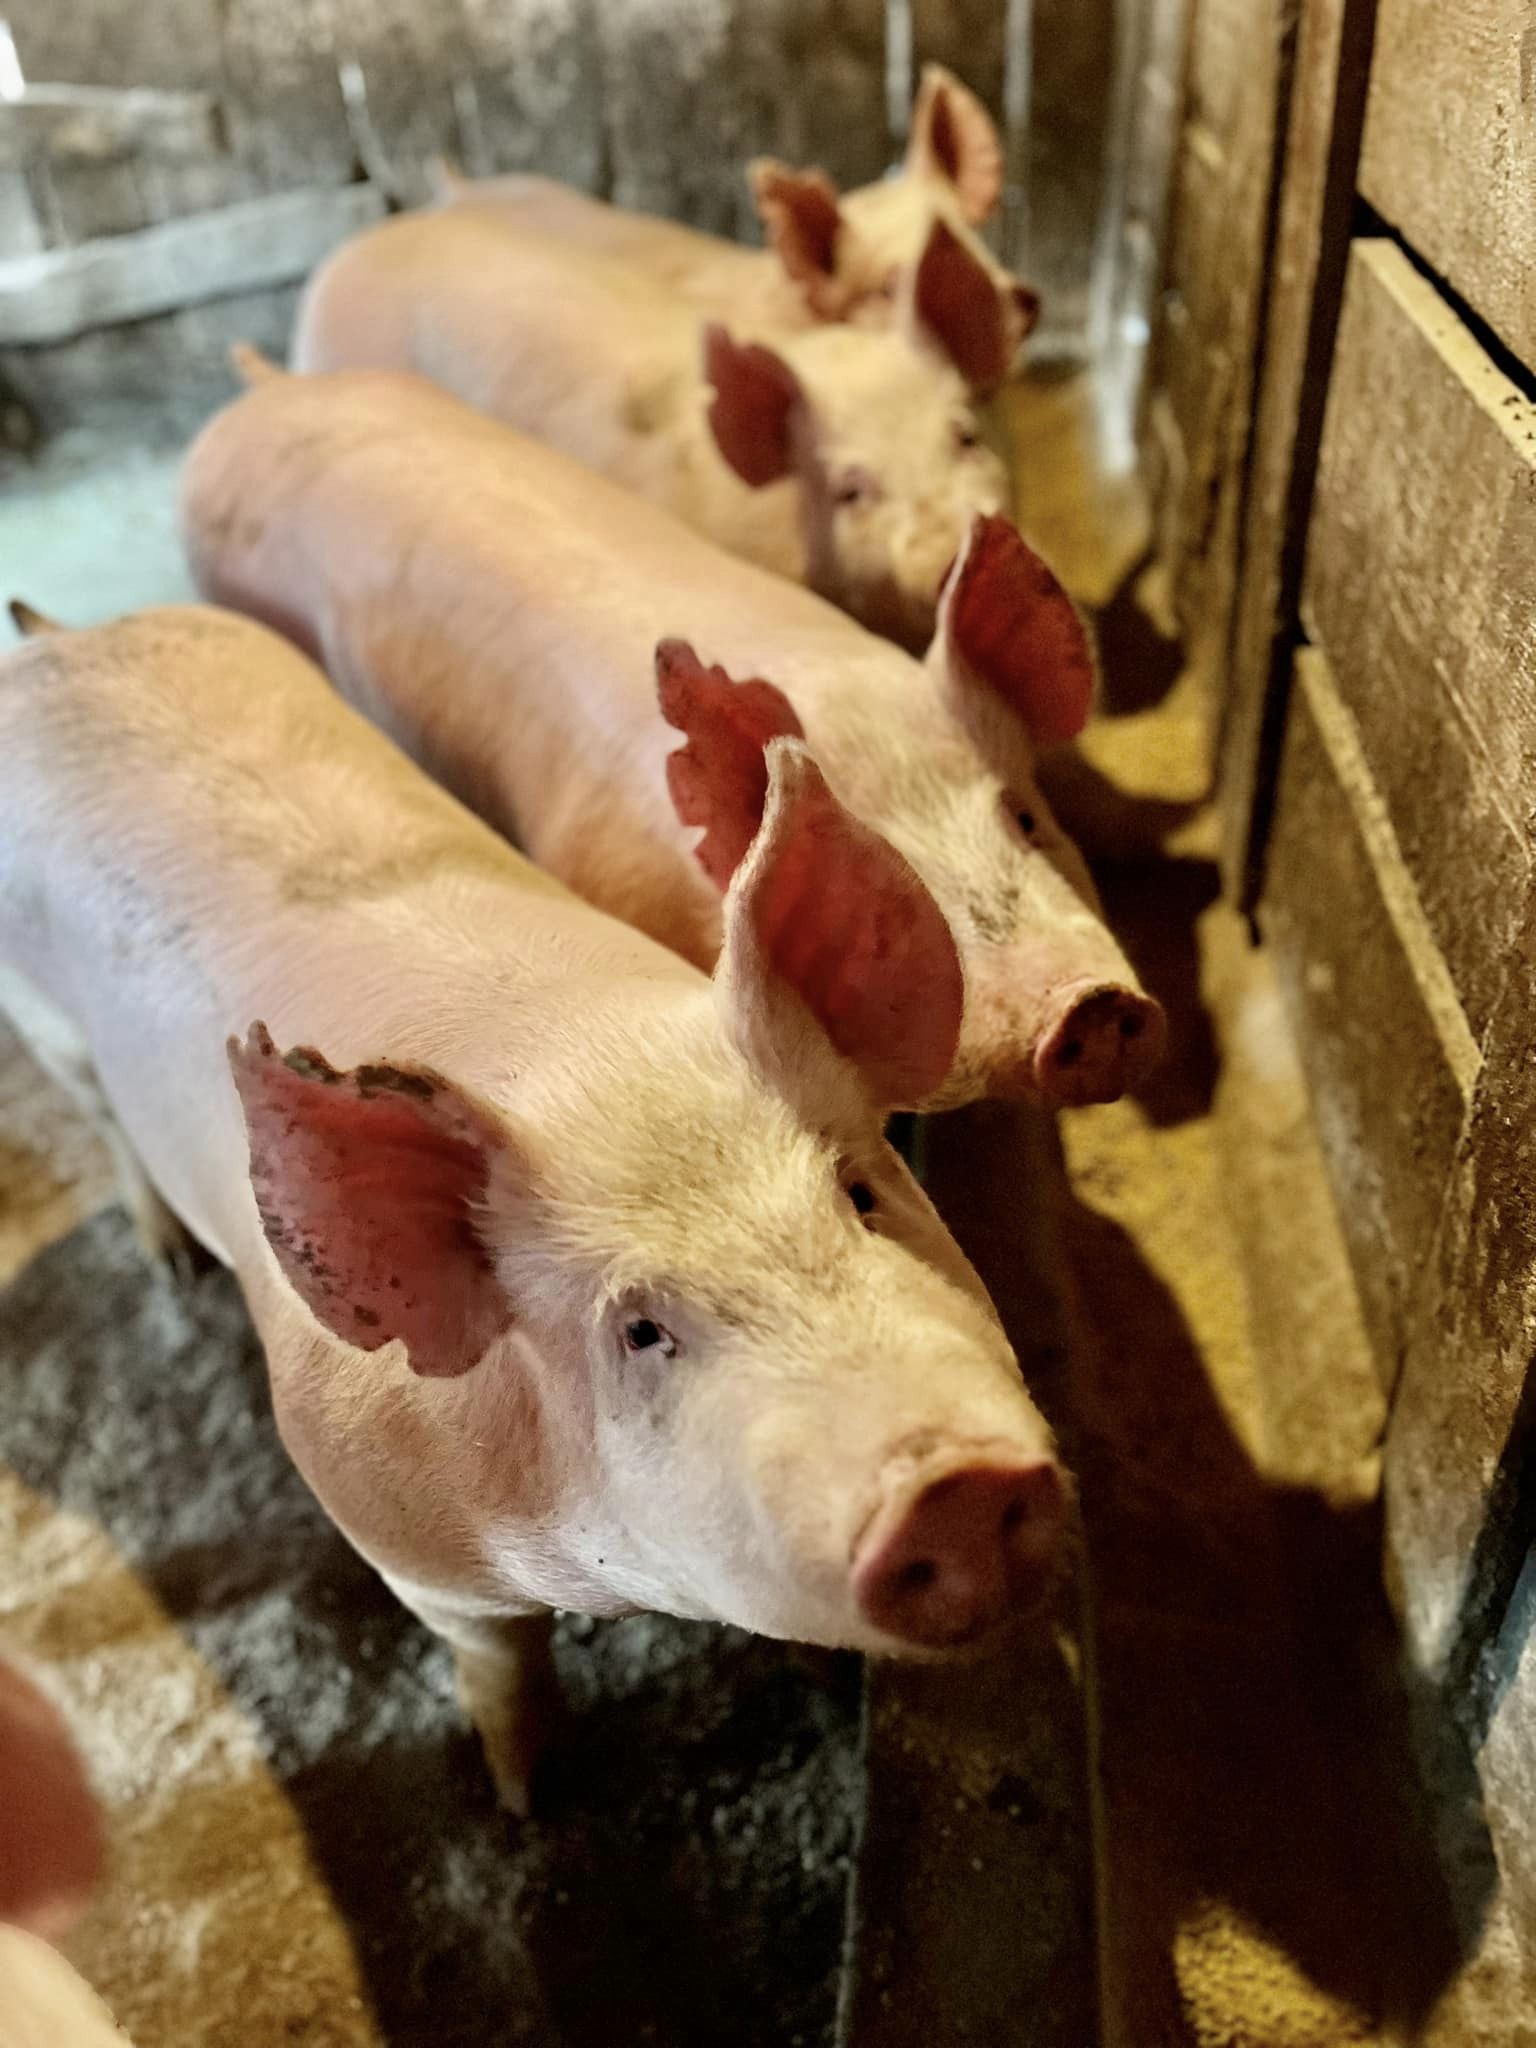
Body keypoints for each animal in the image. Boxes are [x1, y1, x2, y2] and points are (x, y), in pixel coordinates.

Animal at [0, 602, 1071, 1810]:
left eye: (862, 1191)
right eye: (640, 1329)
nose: (954, 1486)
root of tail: (51, 640)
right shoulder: (397, 1541)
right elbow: (499, 1659)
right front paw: (535, 1795)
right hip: (44, 1025)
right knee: (104, 1126)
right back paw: (173, 1260)